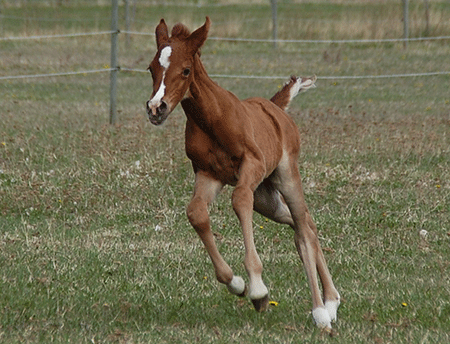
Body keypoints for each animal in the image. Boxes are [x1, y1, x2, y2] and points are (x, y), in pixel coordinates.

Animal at [146, 17, 340, 330]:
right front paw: (237, 284)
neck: (212, 119)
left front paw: (258, 288)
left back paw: (322, 310)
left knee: (303, 226)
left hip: (285, 176)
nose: (156, 108)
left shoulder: (252, 165)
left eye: (185, 70)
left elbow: (238, 200)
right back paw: (331, 302)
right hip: (266, 197)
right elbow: (196, 213)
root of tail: (275, 107)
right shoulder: (208, 174)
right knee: (302, 225)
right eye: (151, 68)